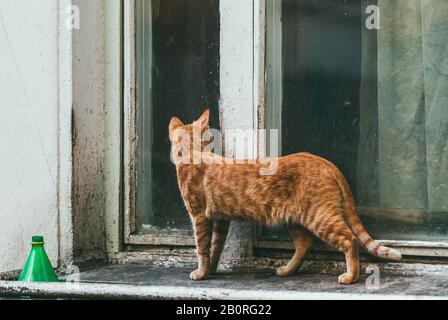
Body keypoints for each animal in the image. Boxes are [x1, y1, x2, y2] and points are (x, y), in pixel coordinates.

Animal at [169, 109, 402, 284]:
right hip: (297, 220)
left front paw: (201, 273)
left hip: (320, 217)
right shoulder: (220, 220)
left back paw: (351, 276)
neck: (192, 153)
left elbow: (202, 248)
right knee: (305, 244)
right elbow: (215, 248)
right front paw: (211, 270)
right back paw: (288, 270)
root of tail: (323, 161)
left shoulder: (199, 217)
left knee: (349, 239)